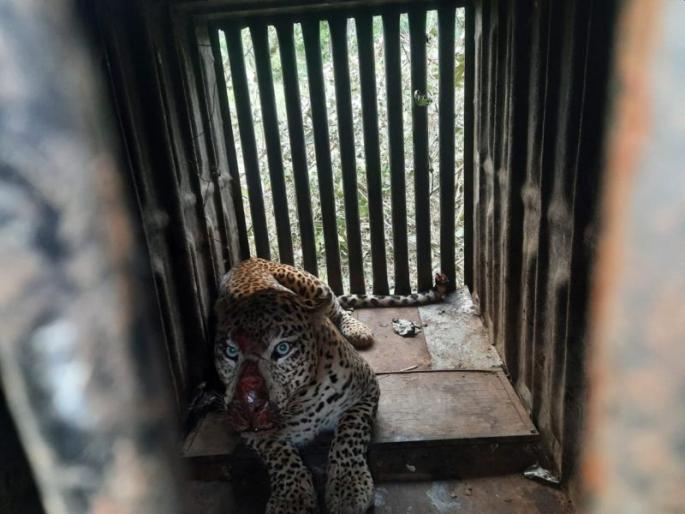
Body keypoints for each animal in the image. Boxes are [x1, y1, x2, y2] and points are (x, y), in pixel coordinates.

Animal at [214, 257, 380, 514]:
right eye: (231, 352)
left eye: (282, 349)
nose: (250, 407)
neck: (302, 398)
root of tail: (246, 259)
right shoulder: (252, 432)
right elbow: (279, 454)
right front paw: (292, 500)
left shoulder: (366, 390)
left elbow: (349, 433)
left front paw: (348, 487)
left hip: (315, 288)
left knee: (337, 307)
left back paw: (357, 330)